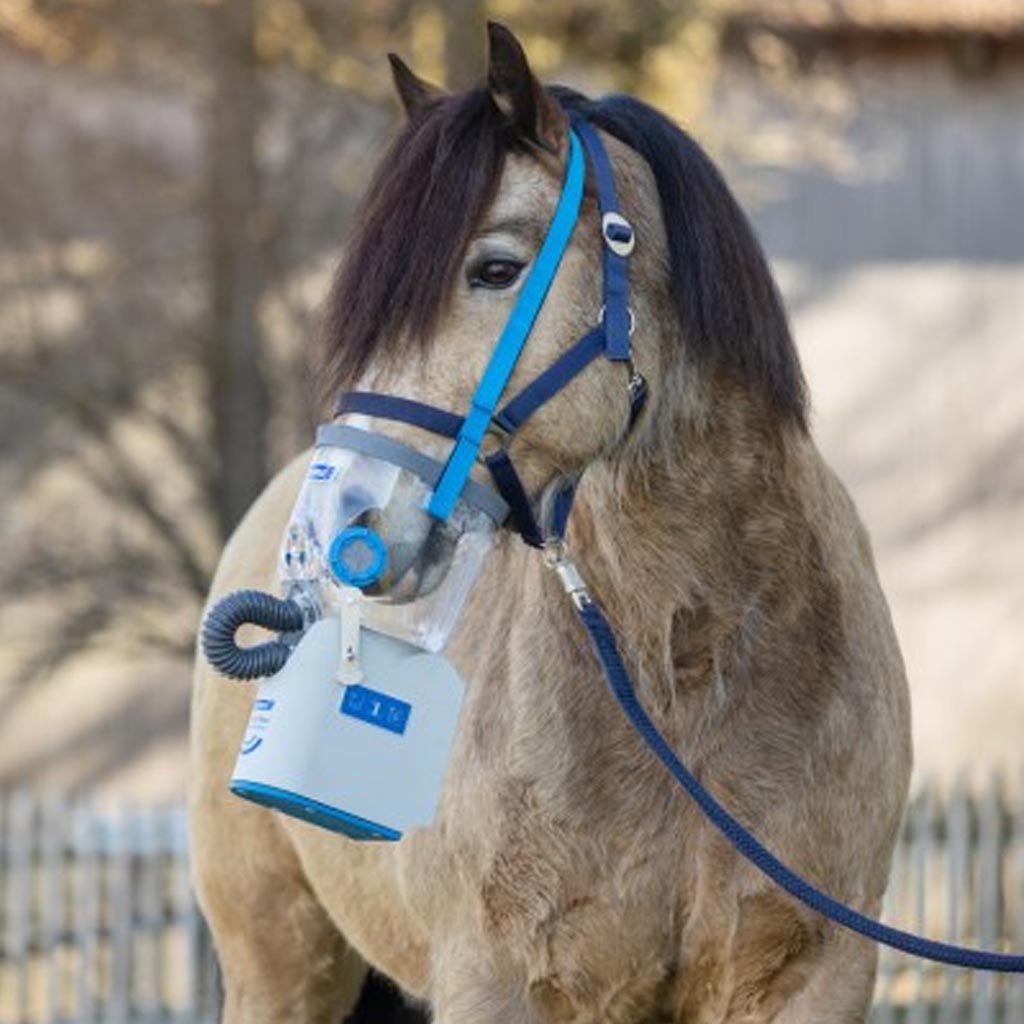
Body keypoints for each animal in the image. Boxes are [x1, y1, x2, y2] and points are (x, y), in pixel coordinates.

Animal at [190, 23, 912, 1024]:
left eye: (495, 269)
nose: (340, 522)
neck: (682, 674)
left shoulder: (814, 980)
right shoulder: (498, 981)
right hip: (279, 963)